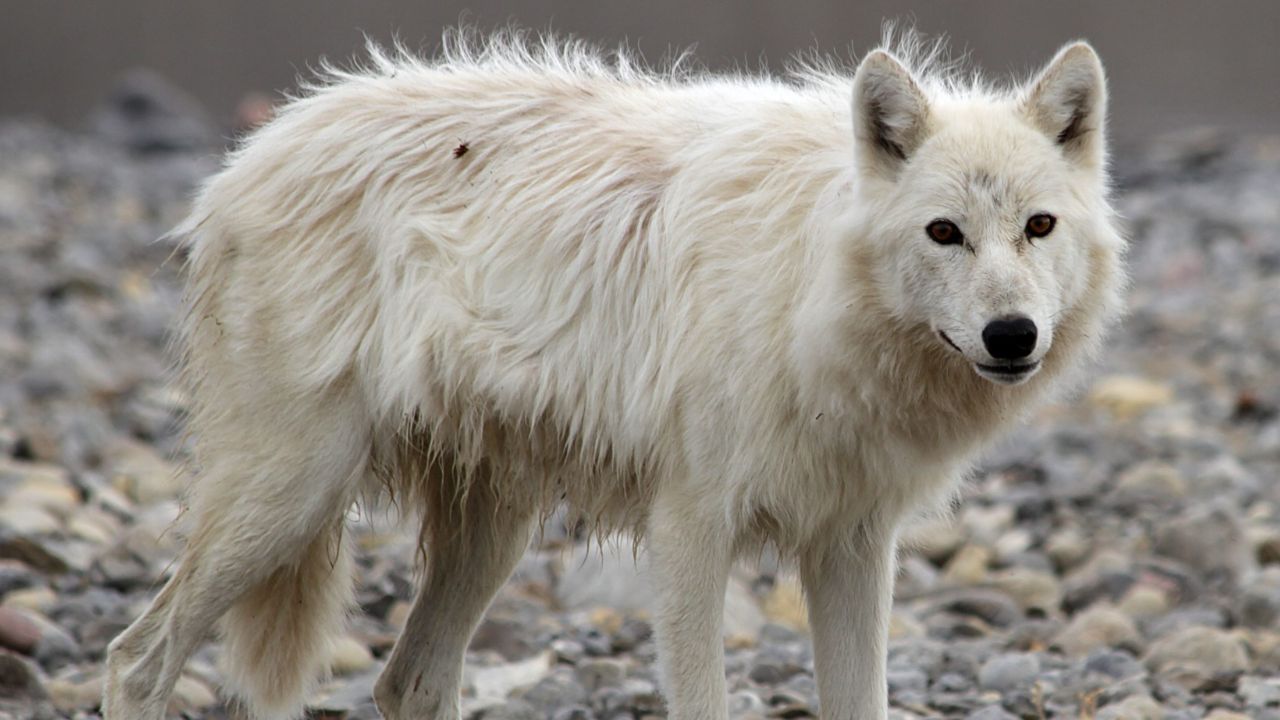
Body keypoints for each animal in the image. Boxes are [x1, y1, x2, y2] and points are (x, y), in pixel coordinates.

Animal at [104, 29, 1121, 717]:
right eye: (945, 232)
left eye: (1038, 227)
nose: (1012, 335)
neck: (807, 287)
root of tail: (247, 157)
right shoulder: (691, 531)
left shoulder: (853, 545)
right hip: (290, 497)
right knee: (136, 660)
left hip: (492, 535)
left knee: (406, 685)